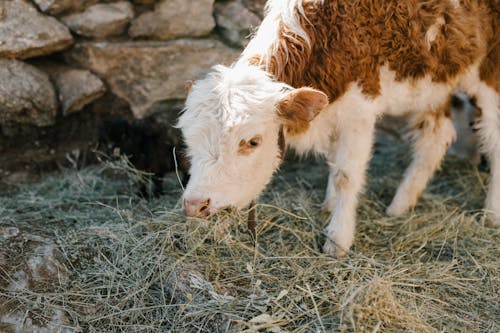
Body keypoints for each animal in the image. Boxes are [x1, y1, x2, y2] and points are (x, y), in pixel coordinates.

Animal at [178, 0, 498, 255]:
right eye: (189, 141)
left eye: (252, 142)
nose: (195, 204)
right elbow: (333, 161)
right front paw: (329, 205)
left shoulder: (359, 109)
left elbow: (346, 174)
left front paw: (338, 239)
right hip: (435, 81)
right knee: (437, 136)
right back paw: (400, 205)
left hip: (488, 72)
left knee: (493, 140)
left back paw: (491, 213)